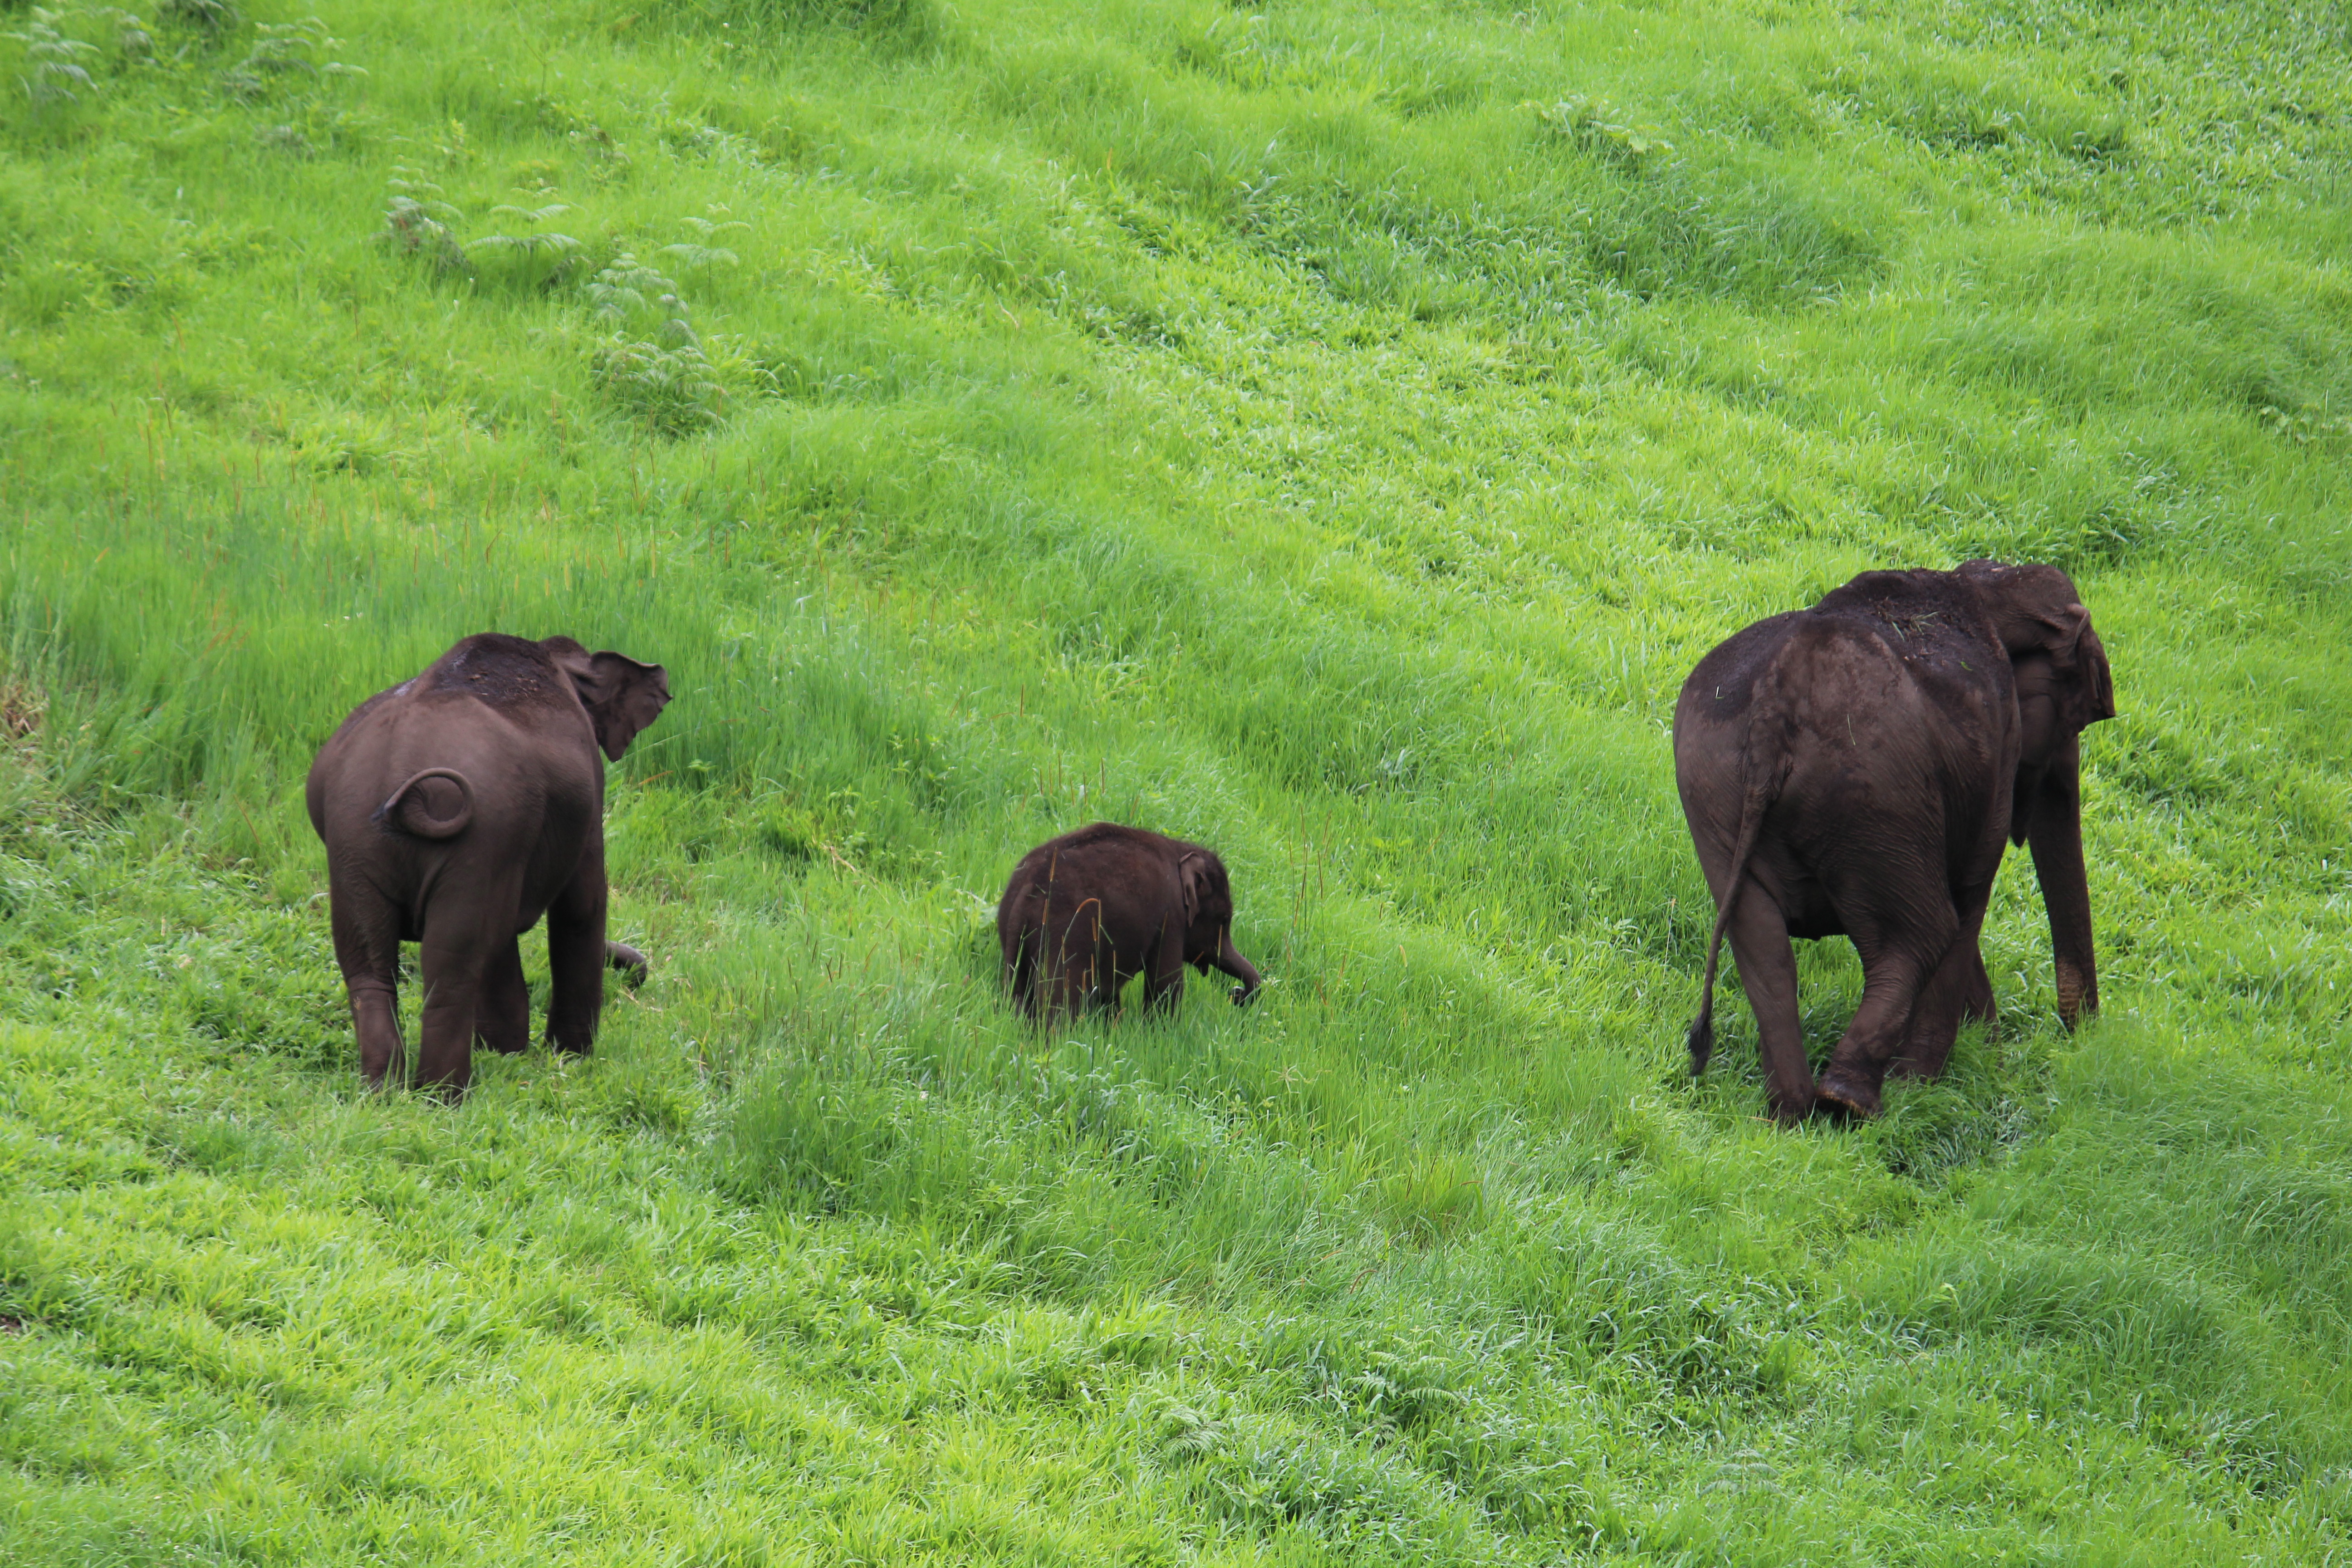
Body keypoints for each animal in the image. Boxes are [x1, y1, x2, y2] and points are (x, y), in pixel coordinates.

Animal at [305, 630, 672, 1100]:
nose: (637, 966)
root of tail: (401, 783)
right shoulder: (587, 796)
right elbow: (582, 906)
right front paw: (569, 1059)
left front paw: (506, 1052)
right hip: (478, 834)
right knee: (453, 963)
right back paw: (441, 1098)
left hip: (352, 839)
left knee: (370, 966)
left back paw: (383, 1092)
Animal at [997, 827, 1270, 1025]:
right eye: (1224, 919)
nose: (1236, 994)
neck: (1180, 849)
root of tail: (1025, 893)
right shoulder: (1171, 917)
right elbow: (1165, 985)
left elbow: (1108, 994)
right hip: (1065, 938)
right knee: (1060, 1003)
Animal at [1675, 557, 2117, 1123]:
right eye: (2077, 719)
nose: (2078, 1039)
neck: (1990, 582)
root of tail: (1779, 697)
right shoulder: (2000, 746)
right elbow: (1970, 897)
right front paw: (1933, 1087)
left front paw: (1979, 1061)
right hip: (1876, 792)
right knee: (1926, 930)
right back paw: (1855, 1102)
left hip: (1712, 785)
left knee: (1763, 946)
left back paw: (1791, 1114)